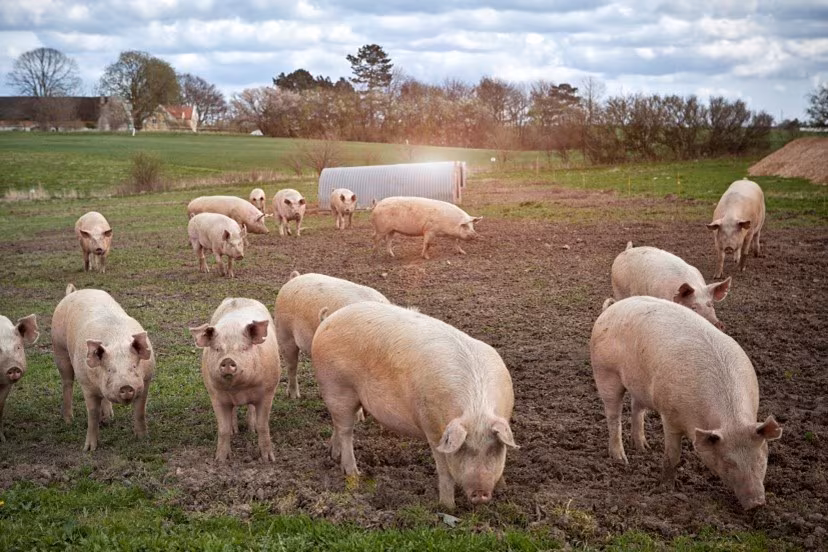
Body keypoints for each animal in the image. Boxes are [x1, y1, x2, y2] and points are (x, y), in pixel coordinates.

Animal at [51, 284, 155, 451]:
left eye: (133, 366)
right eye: (109, 370)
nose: (126, 386)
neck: (116, 341)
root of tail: (75, 292)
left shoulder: (146, 380)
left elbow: (140, 411)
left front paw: (143, 439)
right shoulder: (86, 385)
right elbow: (92, 414)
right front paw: (89, 449)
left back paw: (108, 418)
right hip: (58, 347)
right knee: (67, 382)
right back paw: (68, 421)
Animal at [189, 298, 281, 462]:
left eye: (243, 348)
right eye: (217, 349)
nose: (227, 360)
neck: (238, 390)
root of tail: (239, 298)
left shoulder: (268, 392)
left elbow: (263, 426)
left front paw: (268, 460)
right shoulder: (215, 396)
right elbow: (223, 429)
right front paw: (220, 460)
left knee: (251, 408)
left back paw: (251, 429)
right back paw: (235, 431)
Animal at [311, 301, 518, 509]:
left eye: (493, 449)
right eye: (463, 448)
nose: (481, 493)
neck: (476, 410)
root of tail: (327, 320)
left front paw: (504, 489)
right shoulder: (433, 429)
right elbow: (445, 471)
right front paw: (447, 507)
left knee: (338, 425)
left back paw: (334, 455)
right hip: (337, 387)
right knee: (346, 430)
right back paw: (353, 473)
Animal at [590, 295, 783, 510]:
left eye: (761, 458)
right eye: (727, 462)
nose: (756, 503)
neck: (731, 421)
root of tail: (612, 308)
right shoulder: (670, 416)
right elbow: (672, 455)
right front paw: (665, 489)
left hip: (640, 385)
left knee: (637, 409)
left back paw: (644, 448)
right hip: (605, 372)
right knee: (613, 416)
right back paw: (621, 460)